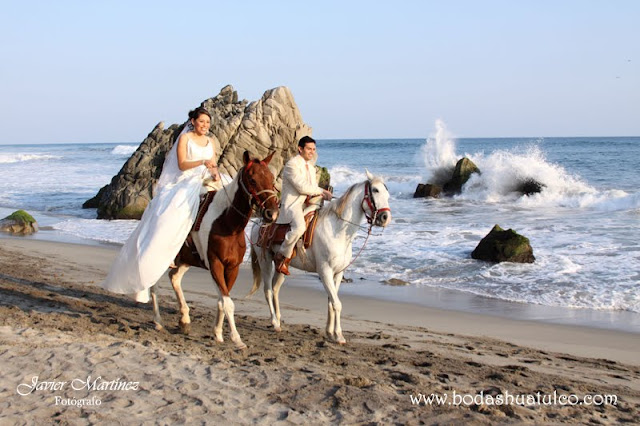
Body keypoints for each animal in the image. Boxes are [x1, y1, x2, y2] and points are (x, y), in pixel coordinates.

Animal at [152, 151, 280, 350]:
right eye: (252, 179)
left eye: (272, 178)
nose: (271, 213)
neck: (227, 223)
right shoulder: (215, 264)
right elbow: (228, 303)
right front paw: (236, 338)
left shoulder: (232, 267)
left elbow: (222, 300)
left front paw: (218, 333)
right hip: (161, 256)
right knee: (153, 285)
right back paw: (158, 321)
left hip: (185, 260)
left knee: (174, 278)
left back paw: (185, 319)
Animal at [249, 170, 390, 342]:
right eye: (375, 190)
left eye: (387, 193)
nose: (385, 217)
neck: (337, 230)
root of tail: (257, 223)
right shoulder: (325, 272)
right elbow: (337, 304)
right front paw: (339, 336)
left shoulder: (338, 273)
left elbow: (331, 302)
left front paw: (330, 332)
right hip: (265, 262)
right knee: (268, 290)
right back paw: (275, 322)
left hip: (281, 266)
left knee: (275, 289)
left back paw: (279, 320)